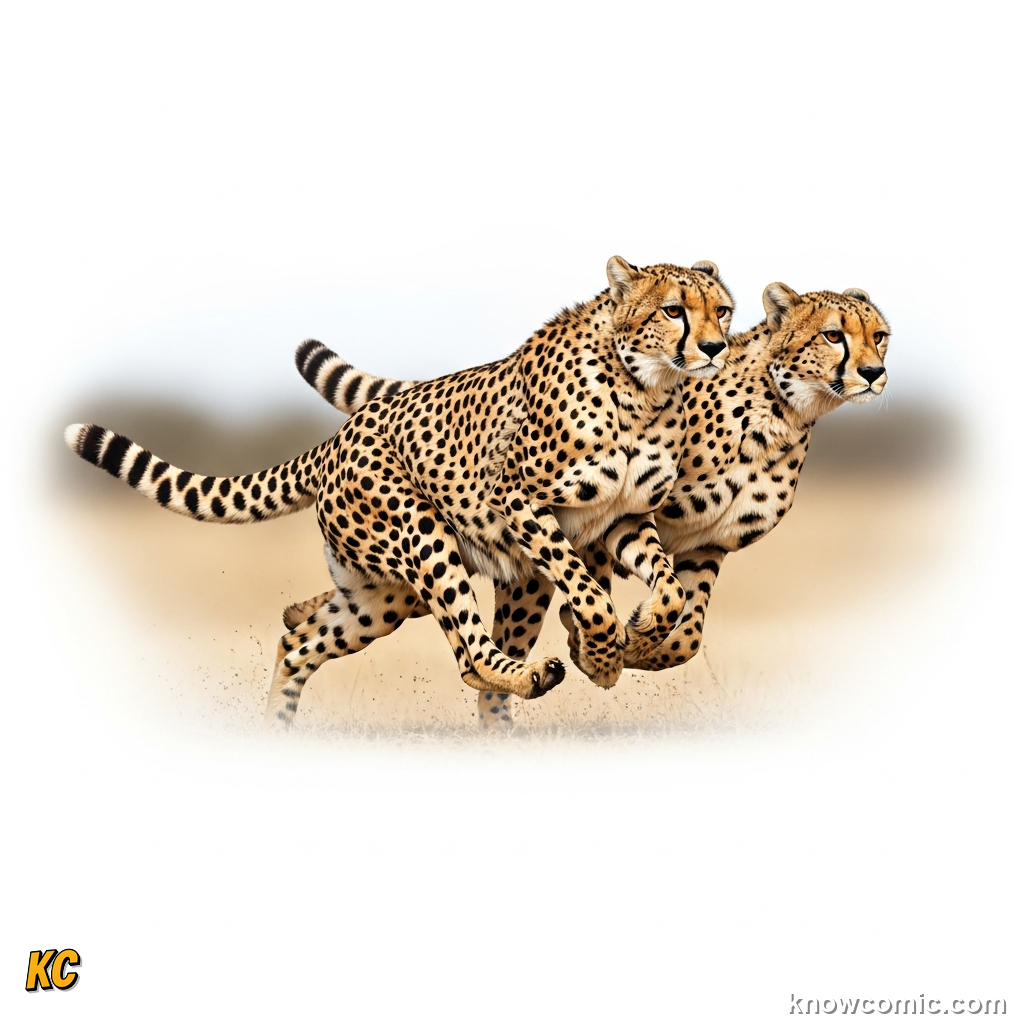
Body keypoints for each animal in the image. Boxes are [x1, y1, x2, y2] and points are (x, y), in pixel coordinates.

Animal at [65, 257, 734, 729]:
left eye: (722, 311)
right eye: (673, 311)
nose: (715, 347)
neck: (647, 390)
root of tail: (337, 436)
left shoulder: (622, 517)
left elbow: (670, 588)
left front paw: (638, 633)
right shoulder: (518, 500)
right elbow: (590, 595)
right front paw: (604, 653)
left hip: (379, 599)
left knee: (300, 641)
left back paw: (277, 728)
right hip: (424, 539)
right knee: (469, 657)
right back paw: (527, 676)